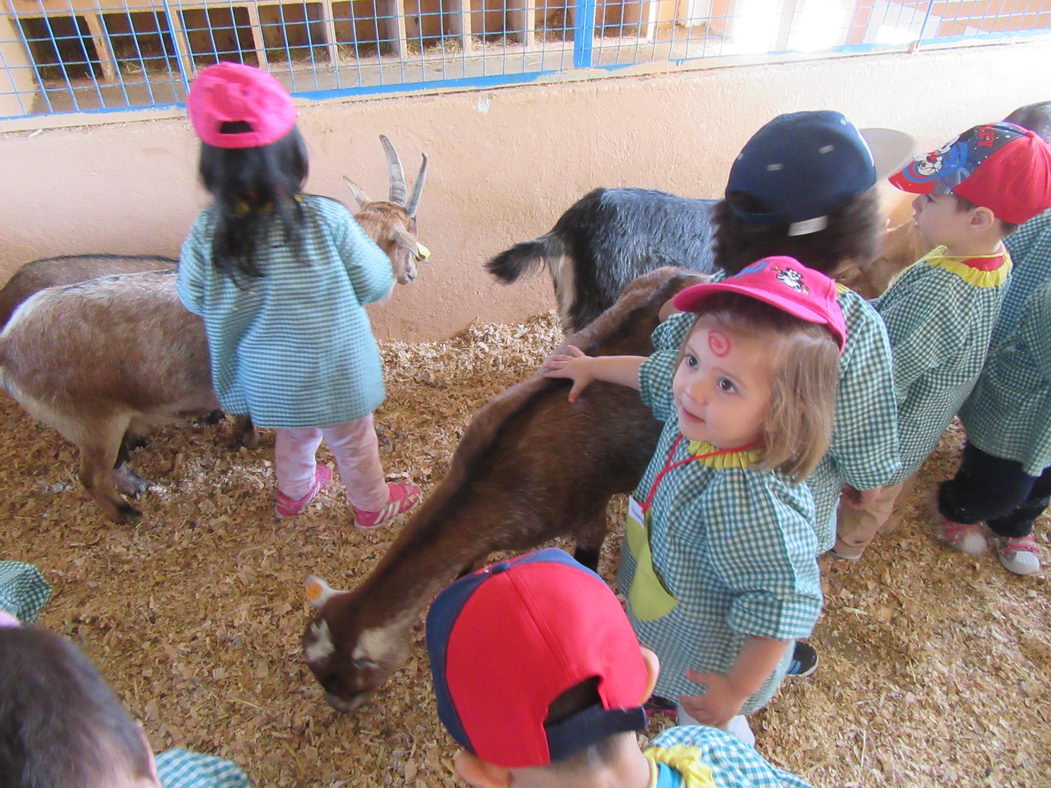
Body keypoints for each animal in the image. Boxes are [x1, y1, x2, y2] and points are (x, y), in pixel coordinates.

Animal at [300, 266, 702, 714]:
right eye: (315, 670)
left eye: (344, 677)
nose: (337, 706)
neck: (490, 478)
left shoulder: (587, 512)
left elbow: (586, 562)